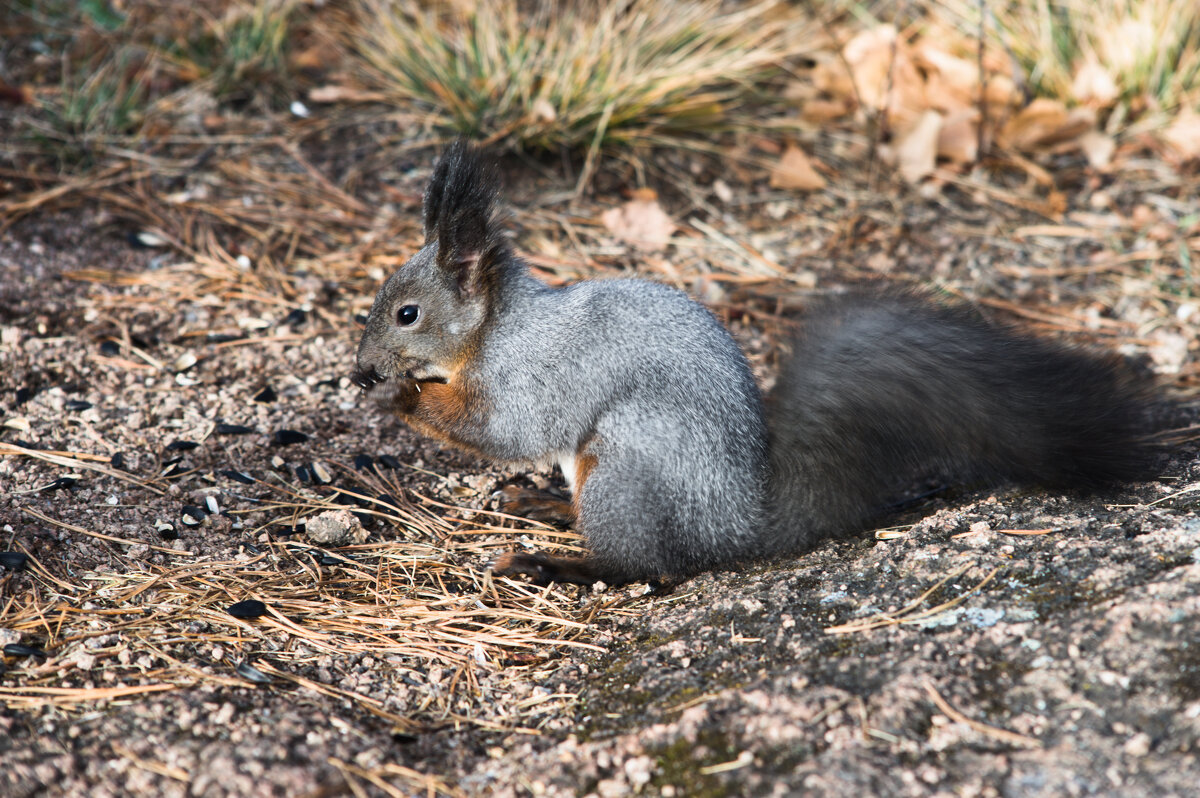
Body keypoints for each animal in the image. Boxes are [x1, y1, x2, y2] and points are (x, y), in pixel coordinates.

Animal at [355, 138, 1161, 585]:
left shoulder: (536, 374)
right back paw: (546, 505)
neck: (499, 328)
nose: (361, 371)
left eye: (406, 313)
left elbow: (506, 430)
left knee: (648, 568)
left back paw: (559, 564)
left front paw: (401, 398)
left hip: (627, 461)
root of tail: (737, 524)